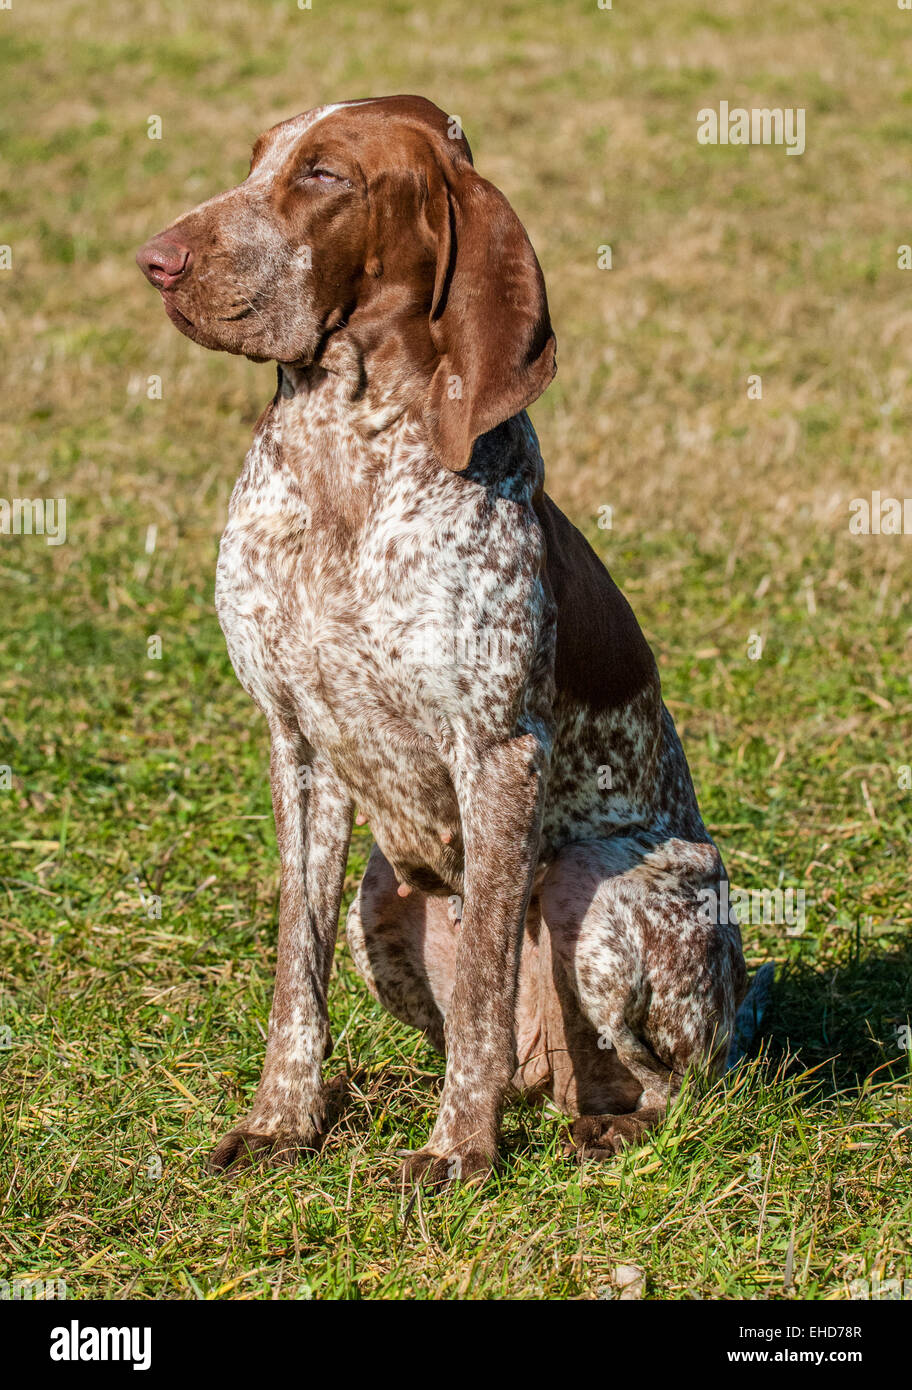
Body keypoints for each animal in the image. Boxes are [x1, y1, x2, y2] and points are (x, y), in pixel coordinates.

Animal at [136, 95, 761, 1184]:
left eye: (327, 176)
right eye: (256, 160)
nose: (156, 261)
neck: (345, 453)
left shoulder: (497, 751)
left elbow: (478, 990)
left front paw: (459, 1150)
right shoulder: (297, 745)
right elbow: (294, 976)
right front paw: (284, 1121)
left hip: (604, 887)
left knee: (665, 1086)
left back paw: (598, 1124)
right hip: (384, 897)